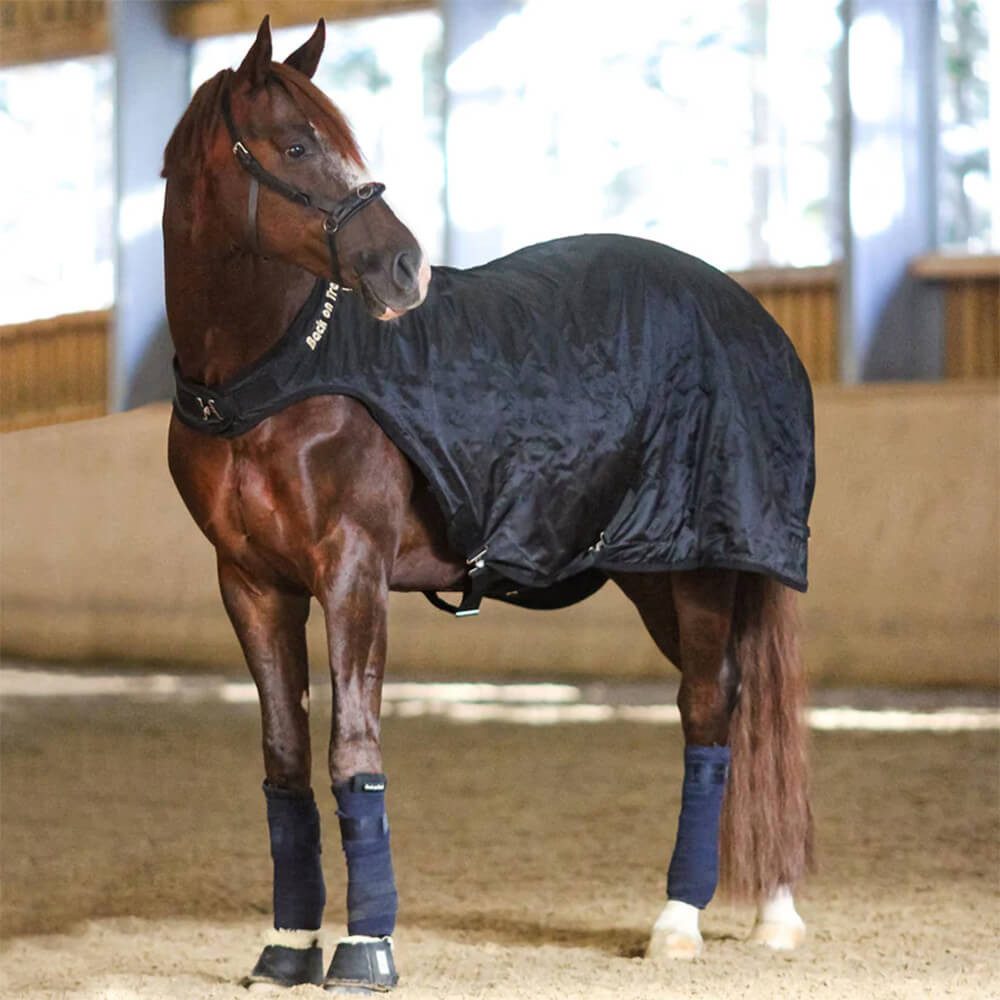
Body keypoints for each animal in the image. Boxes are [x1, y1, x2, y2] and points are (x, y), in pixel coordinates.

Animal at [163, 17, 814, 993]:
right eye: (296, 146)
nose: (404, 268)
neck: (279, 379)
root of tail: (753, 316)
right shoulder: (250, 583)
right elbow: (284, 759)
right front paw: (287, 944)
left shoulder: (351, 571)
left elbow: (353, 750)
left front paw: (367, 947)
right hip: (656, 572)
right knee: (738, 707)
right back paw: (768, 908)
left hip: (700, 564)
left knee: (711, 707)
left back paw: (682, 921)